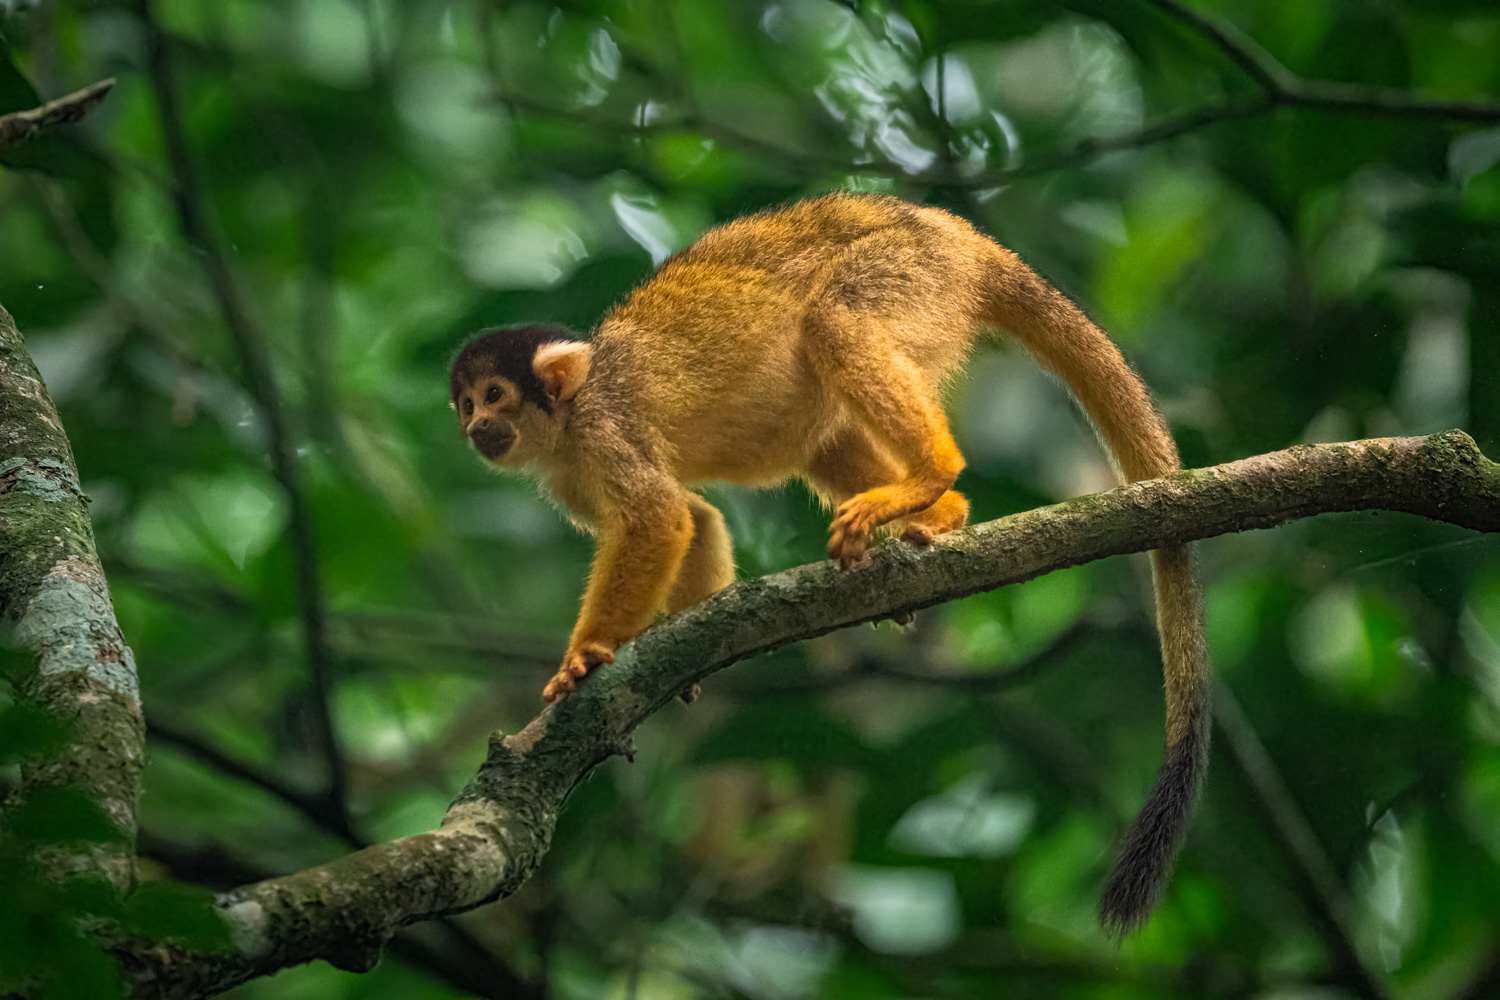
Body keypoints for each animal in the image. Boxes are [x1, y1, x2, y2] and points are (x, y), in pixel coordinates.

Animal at [449, 192, 1208, 935]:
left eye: (494, 396)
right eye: (465, 404)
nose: (473, 428)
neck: (564, 423)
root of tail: (954, 232)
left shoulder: (603, 429)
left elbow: (658, 518)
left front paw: (589, 654)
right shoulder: (571, 476)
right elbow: (695, 518)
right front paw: (684, 649)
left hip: (907, 274)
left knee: (837, 321)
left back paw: (932, 474)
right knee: (823, 427)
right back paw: (942, 514)